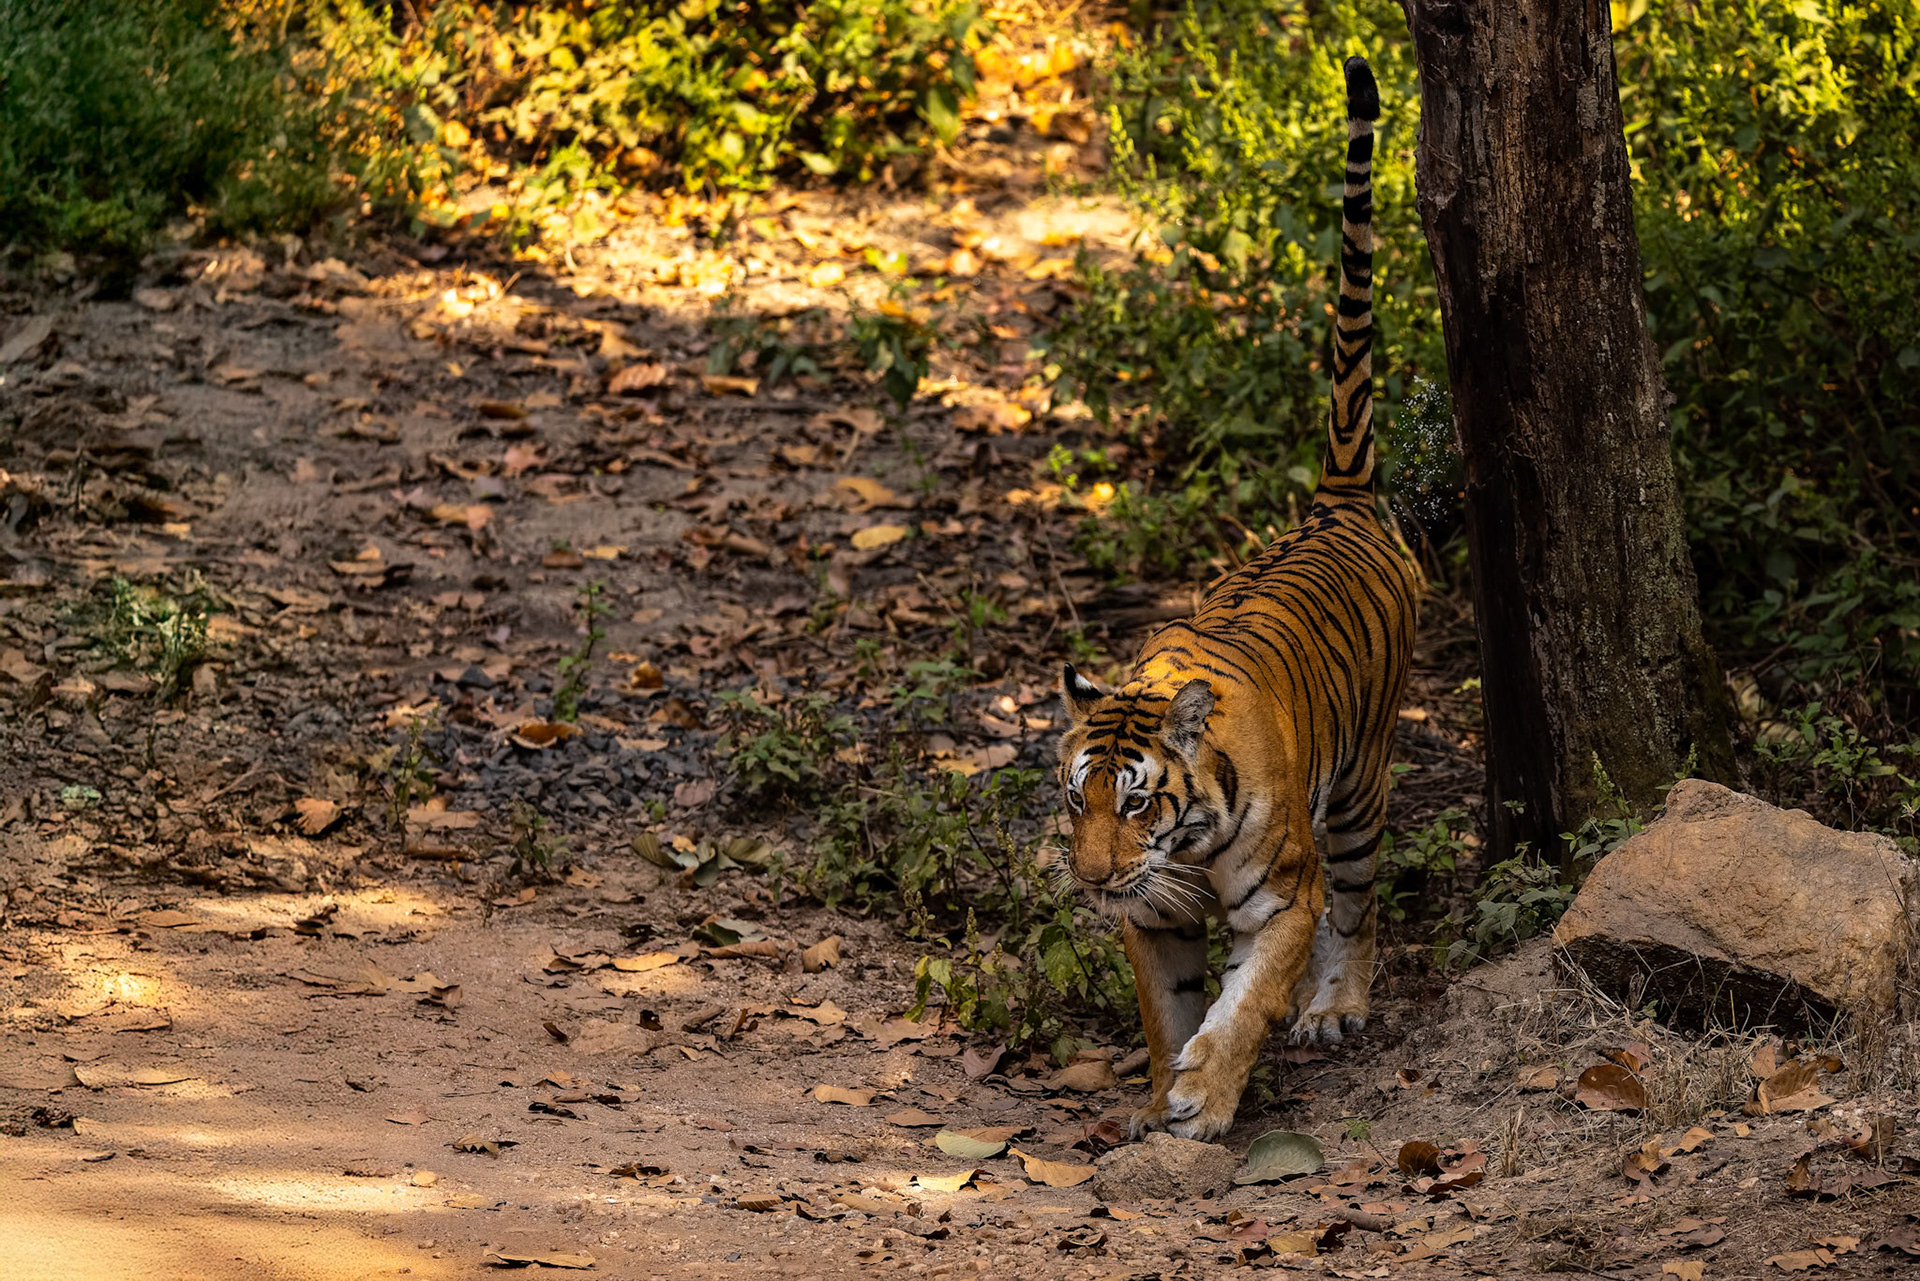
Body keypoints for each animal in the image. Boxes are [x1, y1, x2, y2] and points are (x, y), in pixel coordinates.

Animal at [1055, 55, 1418, 1142]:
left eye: (1136, 800)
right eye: (1078, 798)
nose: (1093, 879)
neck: (1185, 850)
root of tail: (1340, 502)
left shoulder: (1286, 896)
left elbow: (1245, 1002)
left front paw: (1206, 1101)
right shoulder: (1153, 915)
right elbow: (1167, 1011)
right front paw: (1155, 1098)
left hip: (1359, 794)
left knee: (1362, 904)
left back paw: (1337, 1008)